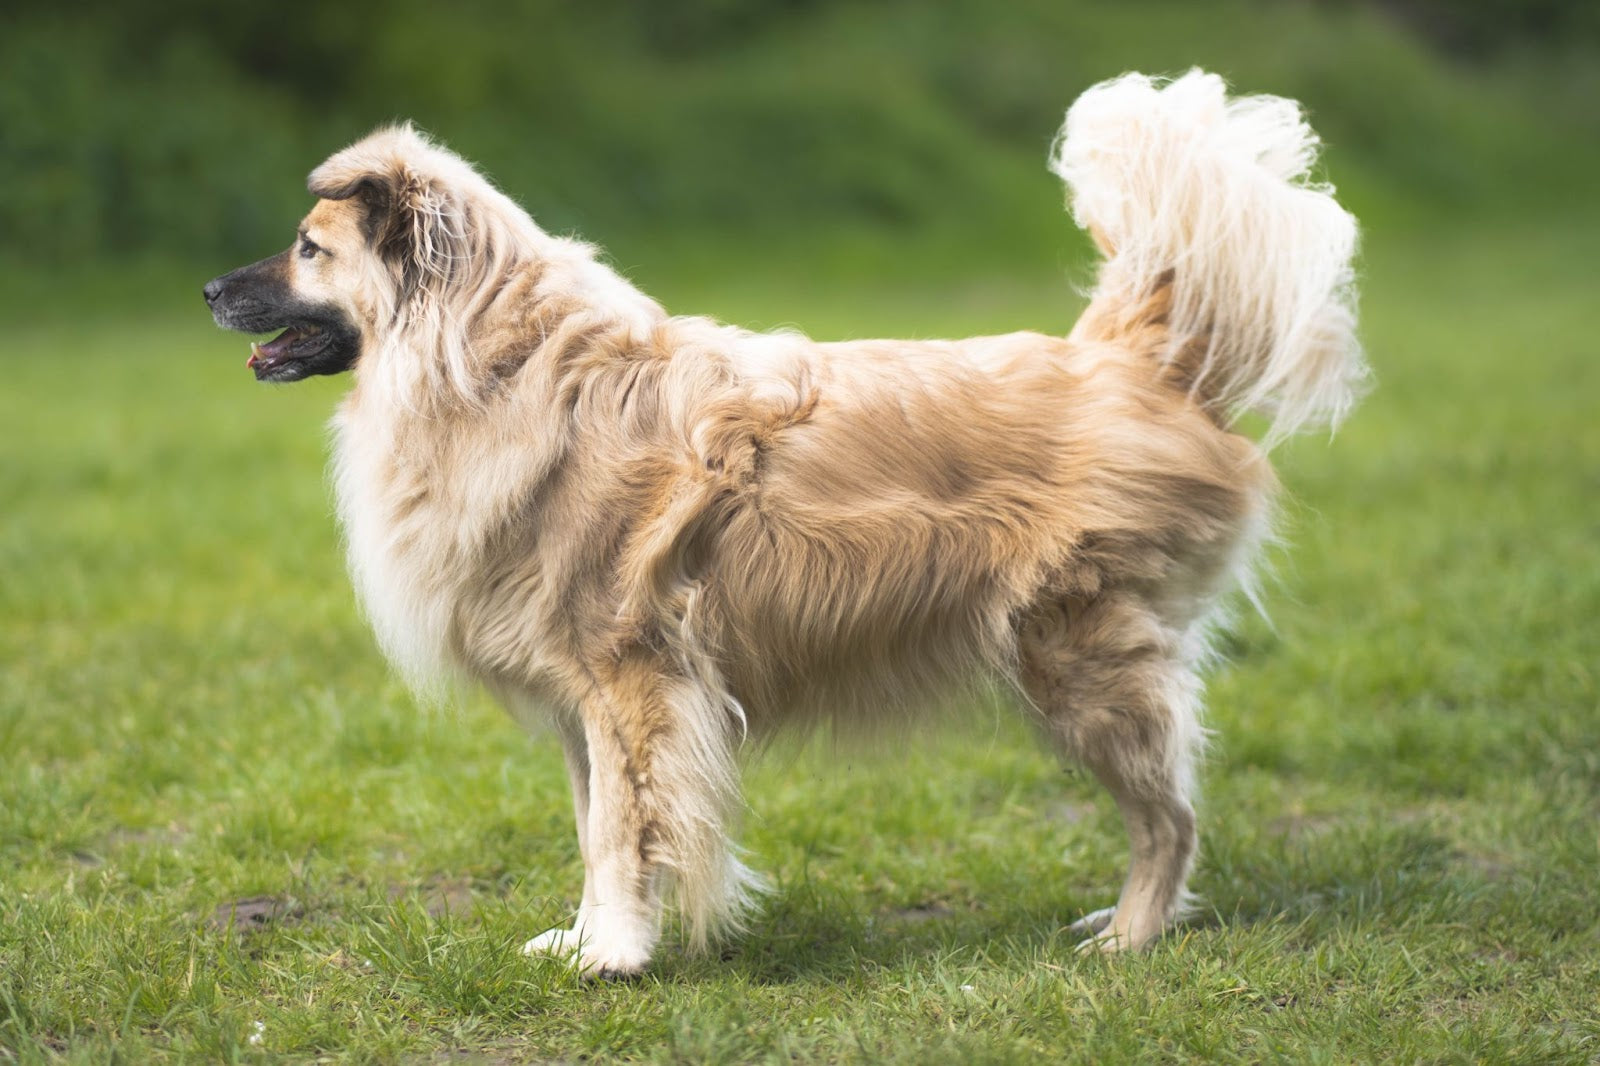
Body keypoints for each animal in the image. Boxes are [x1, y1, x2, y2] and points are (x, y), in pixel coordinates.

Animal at [203, 72, 1363, 973]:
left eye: (307, 249)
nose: (210, 288)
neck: (505, 367)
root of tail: (1131, 358)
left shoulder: (633, 683)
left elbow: (624, 833)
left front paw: (616, 956)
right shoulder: (585, 705)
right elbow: (591, 830)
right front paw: (582, 939)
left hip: (1079, 662)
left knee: (1172, 815)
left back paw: (1129, 935)